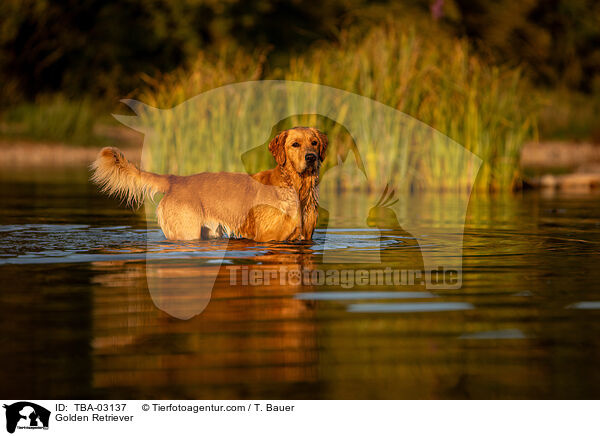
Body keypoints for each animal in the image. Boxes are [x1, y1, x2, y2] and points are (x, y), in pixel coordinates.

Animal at [92, 126, 328, 242]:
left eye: (314, 142)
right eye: (295, 144)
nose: (311, 157)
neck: (297, 188)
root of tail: (175, 179)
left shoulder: (306, 236)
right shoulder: (268, 238)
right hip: (186, 231)